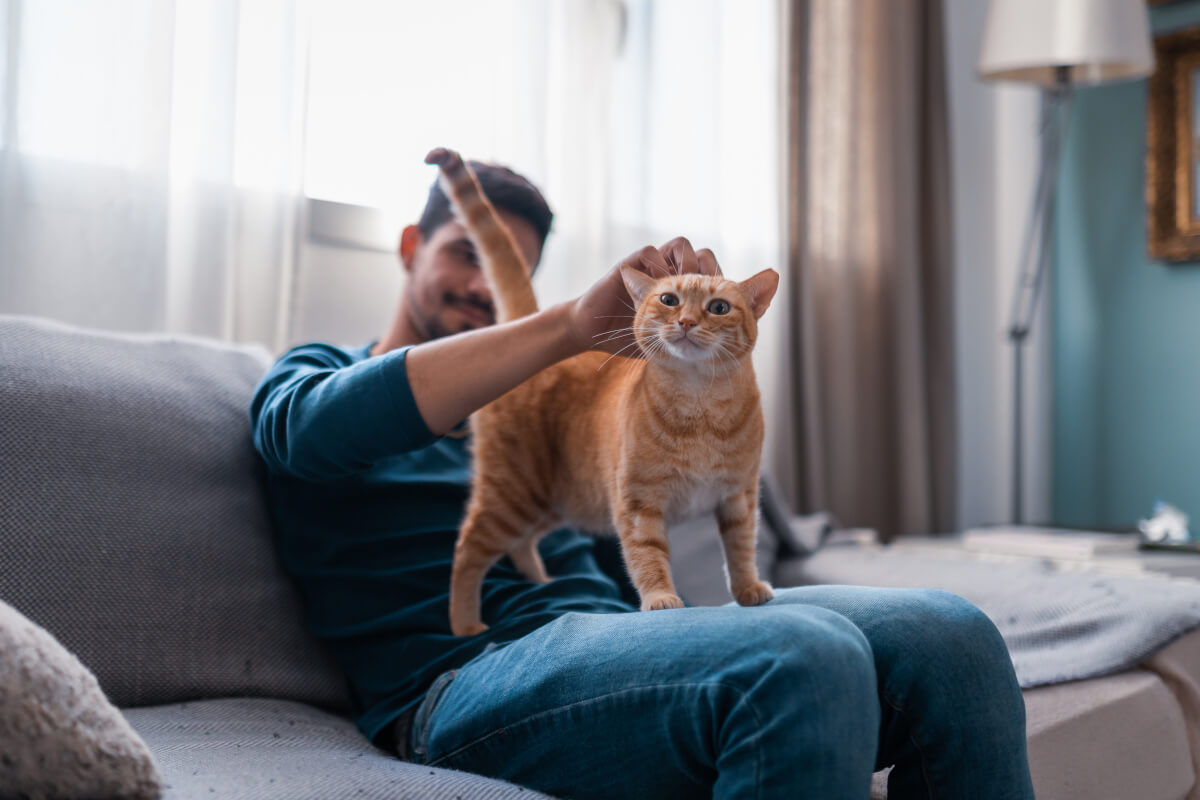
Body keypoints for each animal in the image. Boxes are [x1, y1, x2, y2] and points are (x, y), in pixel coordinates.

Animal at [427, 145, 782, 638]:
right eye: (669, 300)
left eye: (718, 308)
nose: (686, 322)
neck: (701, 408)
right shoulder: (637, 504)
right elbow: (647, 556)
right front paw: (660, 599)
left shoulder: (739, 498)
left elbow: (741, 550)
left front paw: (749, 589)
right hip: (514, 492)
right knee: (467, 548)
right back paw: (465, 624)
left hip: (554, 501)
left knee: (521, 544)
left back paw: (541, 580)